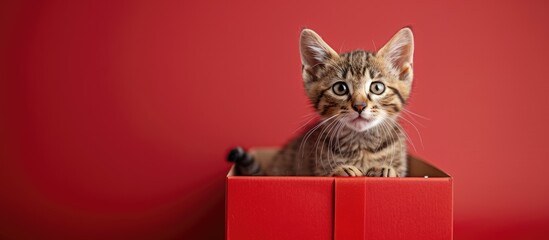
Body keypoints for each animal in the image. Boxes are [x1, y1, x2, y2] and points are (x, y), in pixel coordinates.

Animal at [229, 27, 414, 176]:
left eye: (377, 87)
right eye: (340, 88)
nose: (359, 106)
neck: (361, 145)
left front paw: (386, 169)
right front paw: (342, 170)